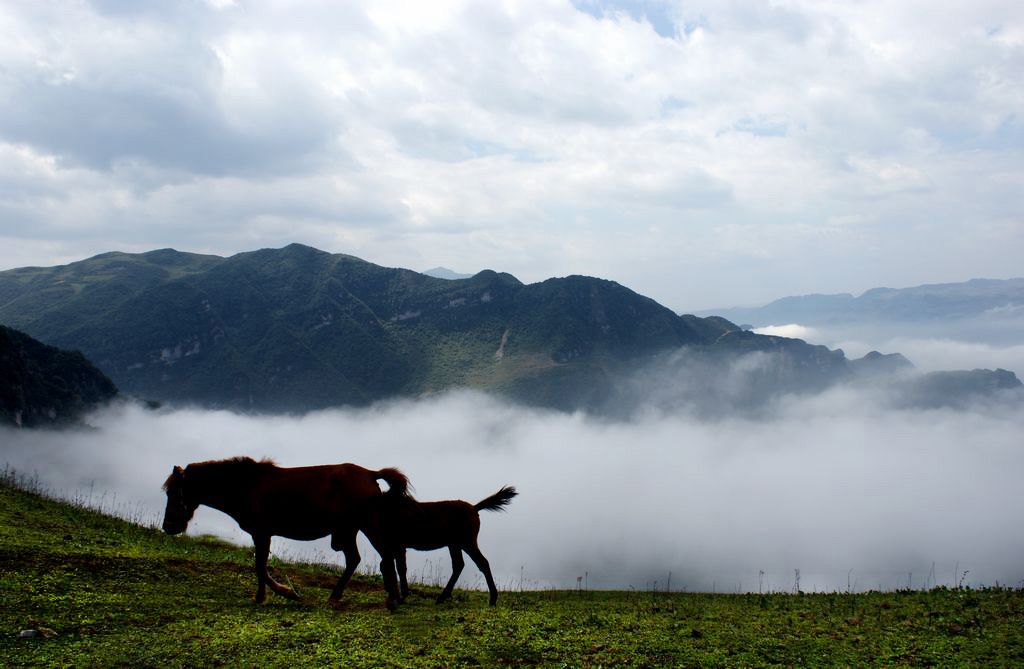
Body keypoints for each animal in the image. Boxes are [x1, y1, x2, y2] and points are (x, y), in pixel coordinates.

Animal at [159, 458, 407, 606]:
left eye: (173, 493)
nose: (168, 526)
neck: (247, 486)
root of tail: (371, 474)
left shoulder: (262, 533)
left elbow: (260, 566)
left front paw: (282, 592)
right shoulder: (261, 534)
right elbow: (260, 566)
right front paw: (266, 595)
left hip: (365, 525)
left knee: (382, 556)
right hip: (351, 530)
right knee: (362, 558)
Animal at [362, 483, 520, 606]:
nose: (387, 591)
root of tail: (474, 508)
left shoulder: (398, 546)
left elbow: (399, 568)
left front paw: (402, 596)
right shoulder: (395, 547)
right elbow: (391, 566)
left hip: (467, 542)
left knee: (482, 563)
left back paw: (492, 599)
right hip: (454, 544)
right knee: (459, 565)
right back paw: (442, 597)